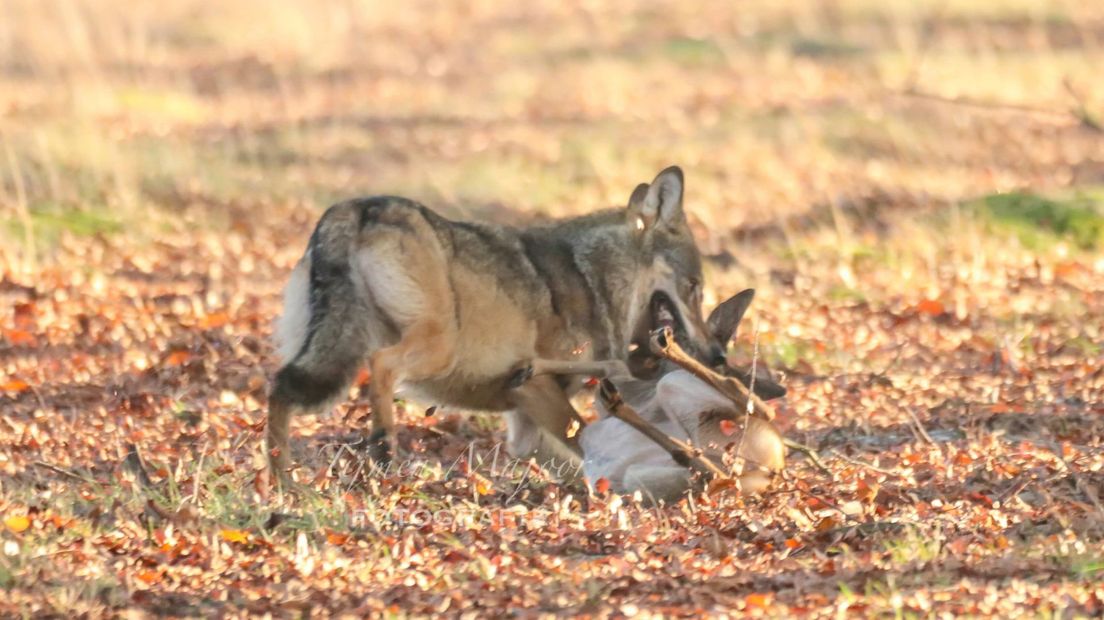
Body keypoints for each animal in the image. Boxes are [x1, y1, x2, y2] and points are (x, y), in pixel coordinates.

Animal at [264, 165, 715, 478]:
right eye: (695, 287)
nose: (716, 354)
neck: (593, 277)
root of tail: (357, 208)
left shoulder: (524, 422)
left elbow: (575, 466)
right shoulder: (532, 386)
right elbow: (587, 443)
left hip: (326, 354)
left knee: (281, 388)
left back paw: (285, 487)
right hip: (434, 346)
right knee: (381, 365)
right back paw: (382, 449)